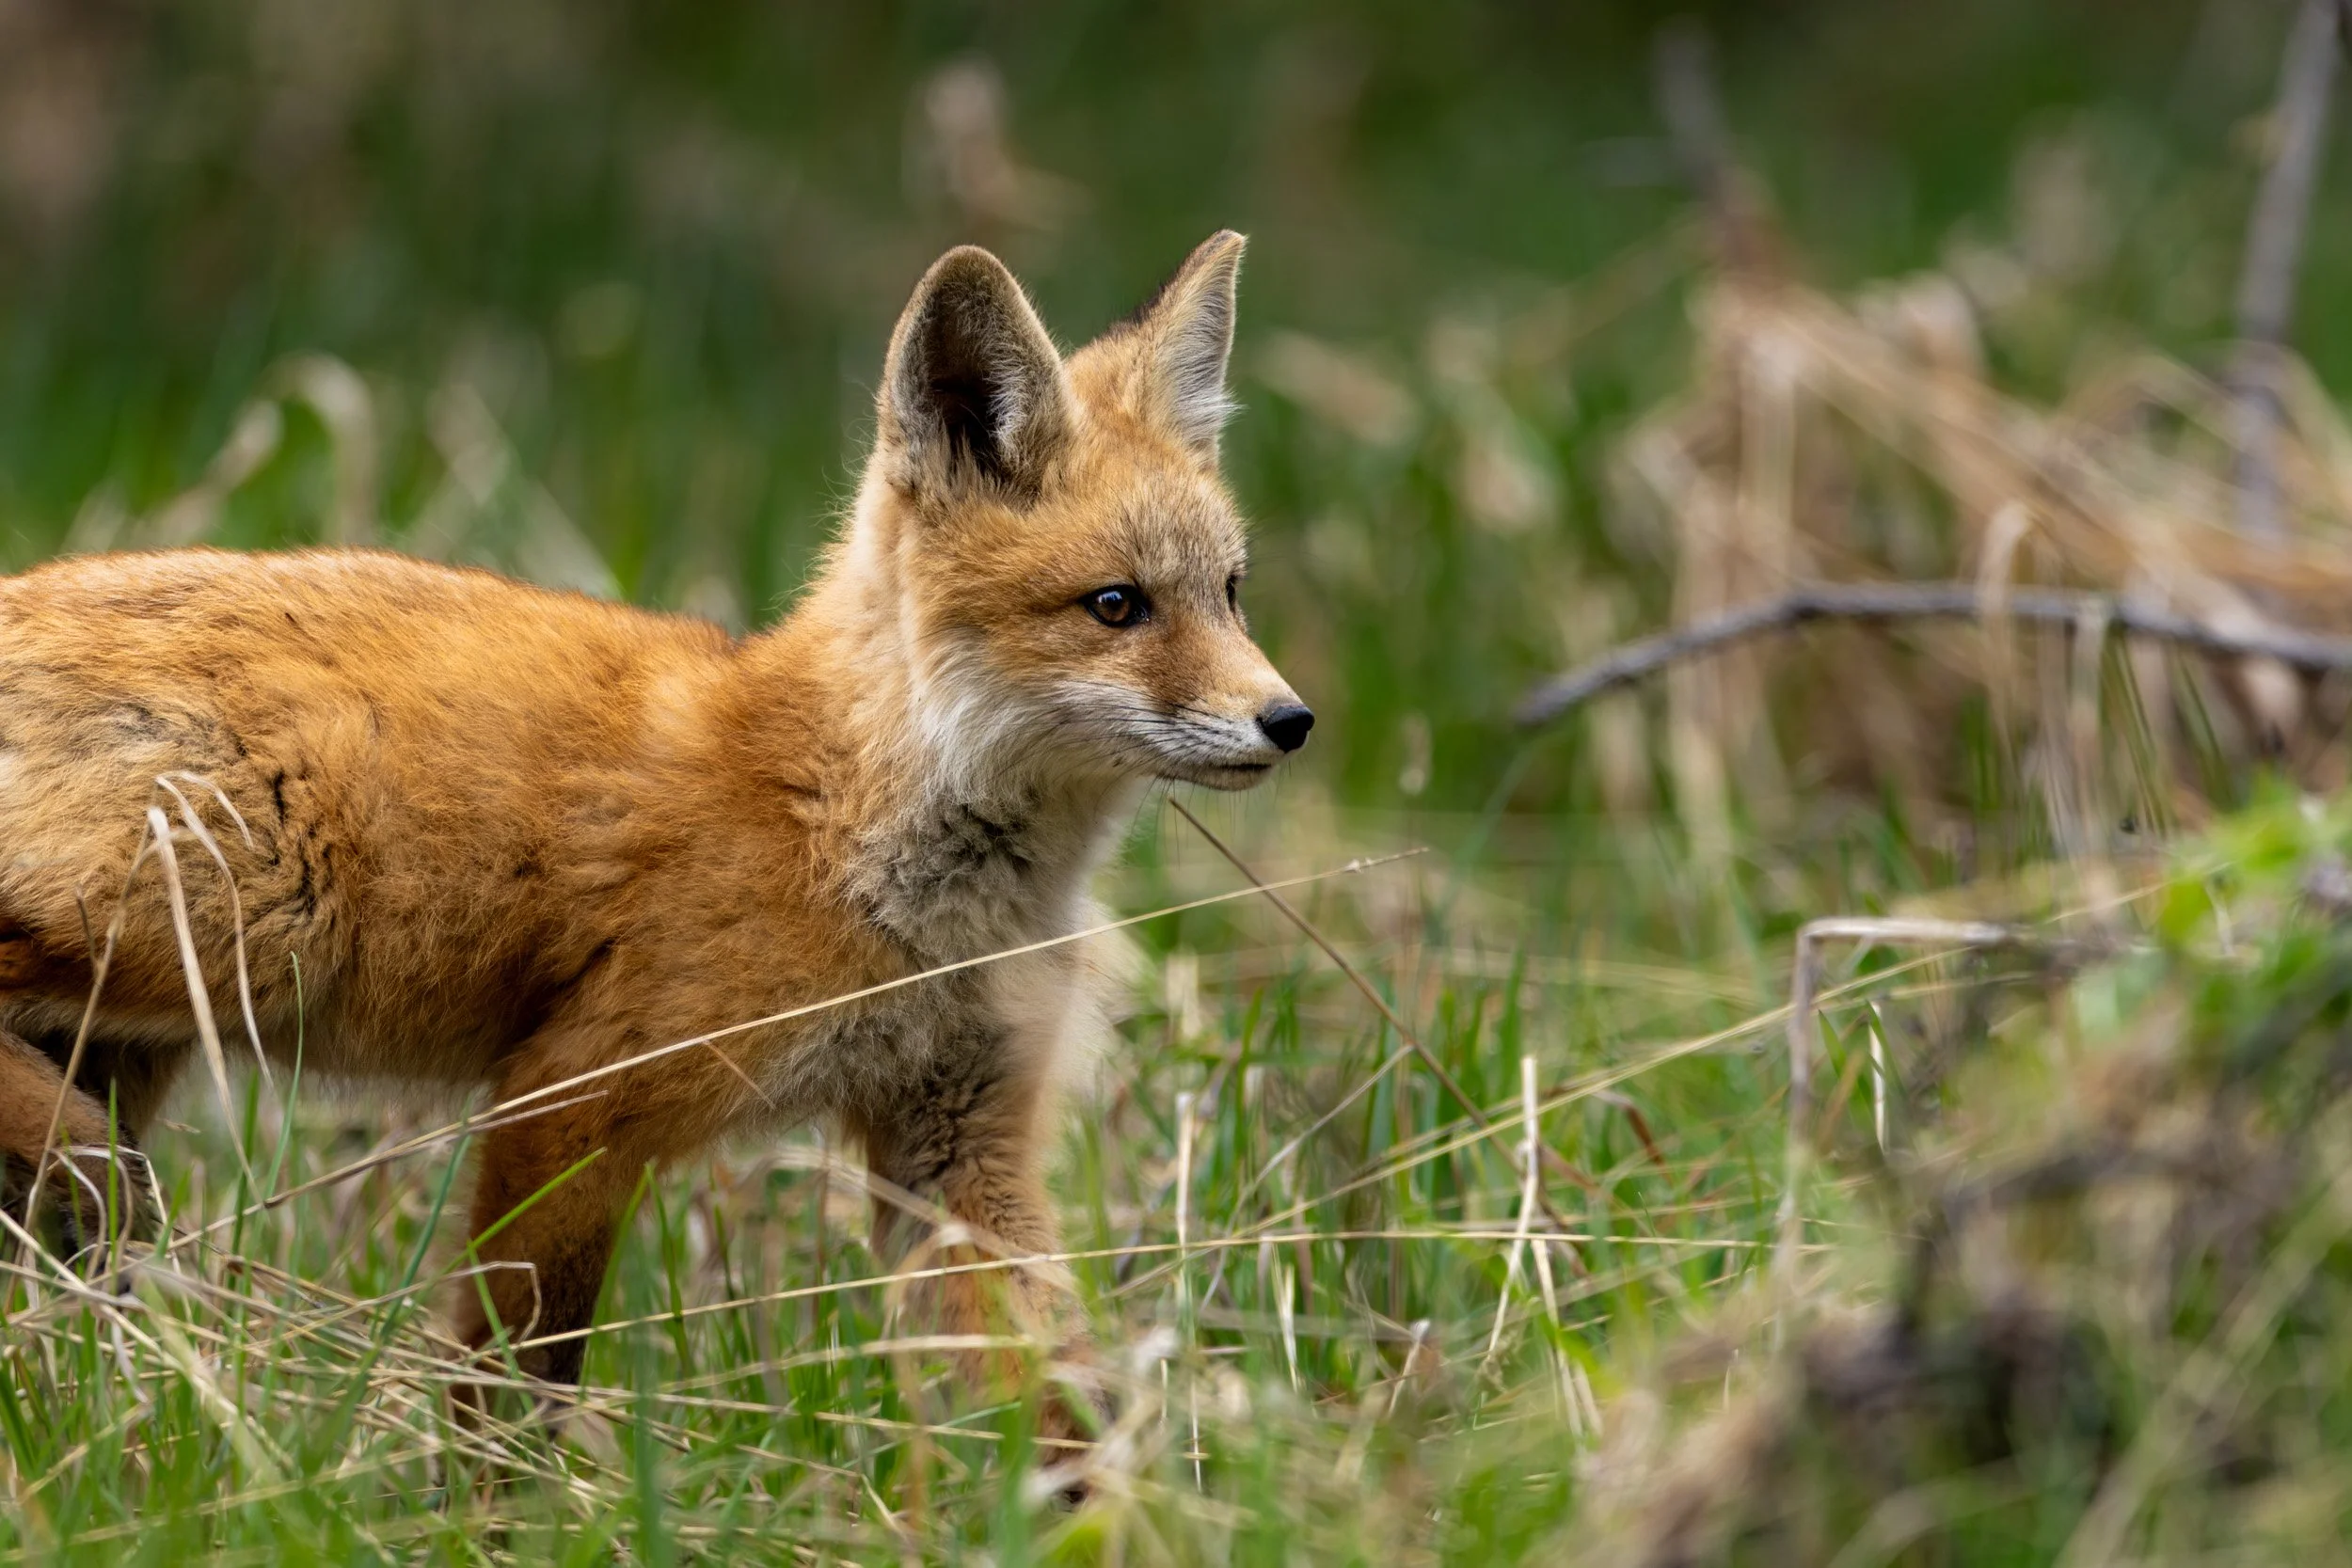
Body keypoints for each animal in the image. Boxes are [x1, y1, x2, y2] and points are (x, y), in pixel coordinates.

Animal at [0, 230, 1309, 1437]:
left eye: (1231, 591)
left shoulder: (957, 1138)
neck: (847, 828)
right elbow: (509, 1393)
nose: (1289, 720)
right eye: (1115, 605)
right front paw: (489, 1518)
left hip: (149, 1024)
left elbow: (1059, 1412)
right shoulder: (572, 1093)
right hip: (223, 920)